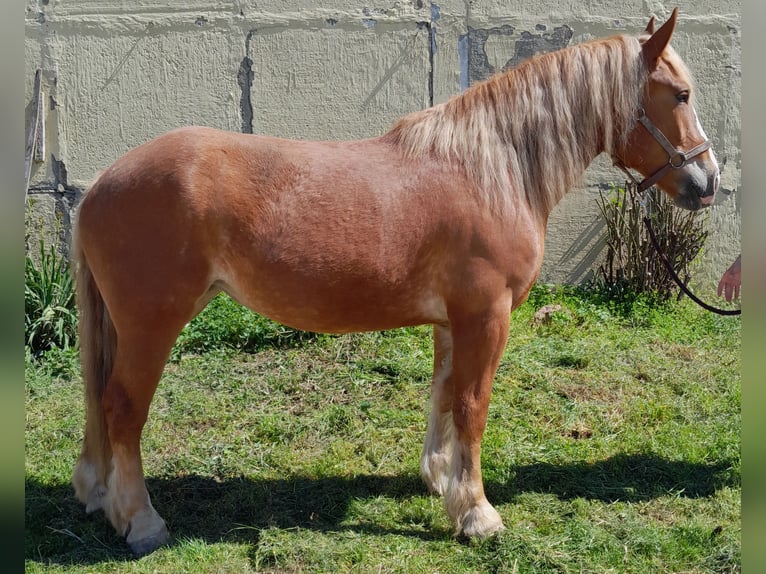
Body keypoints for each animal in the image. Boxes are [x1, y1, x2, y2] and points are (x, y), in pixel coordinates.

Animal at [71, 8, 720, 555]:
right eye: (681, 95)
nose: (708, 180)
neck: (492, 170)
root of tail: (102, 183)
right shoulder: (487, 314)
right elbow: (473, 404)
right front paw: (477, 514)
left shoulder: (455, 319)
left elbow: (444, 393)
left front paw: (441, 481)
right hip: (151, 325)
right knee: (122, 408)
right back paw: (142, 522)